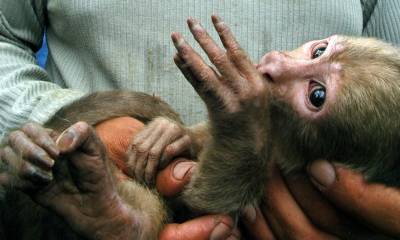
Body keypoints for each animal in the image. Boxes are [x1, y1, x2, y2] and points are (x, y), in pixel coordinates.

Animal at [0, 15, 400, 239]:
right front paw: (171, 135)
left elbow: (207, 207)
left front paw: (240, 111)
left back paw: (111, 214)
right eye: (319, 51)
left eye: (317, 95)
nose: (272, 66)